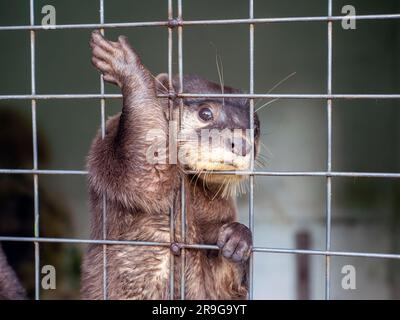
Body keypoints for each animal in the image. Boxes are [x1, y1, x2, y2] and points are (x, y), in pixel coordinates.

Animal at [83, 30, 260, 300]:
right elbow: (147, 178)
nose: (241, 143)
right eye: (205, 113)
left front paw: (238, 239)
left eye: (256, 129)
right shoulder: (108, 144)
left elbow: (223, 287)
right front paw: (126, 65)